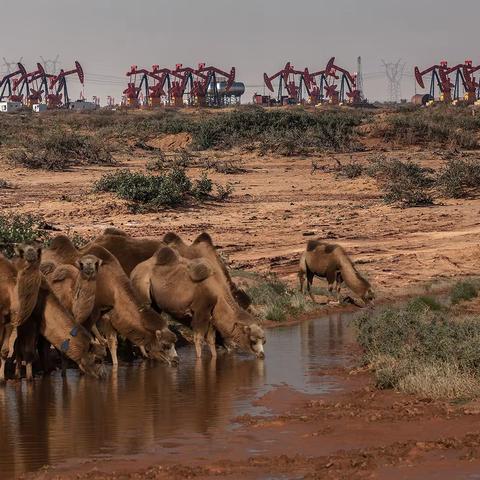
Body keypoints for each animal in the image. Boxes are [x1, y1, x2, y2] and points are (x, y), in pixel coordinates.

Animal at [41, 236, 179, 368]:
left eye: (174, 343)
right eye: (165, 345)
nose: (176, 360)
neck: (112, 287)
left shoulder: (109, 311)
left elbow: (113, 342)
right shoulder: (96, 312)